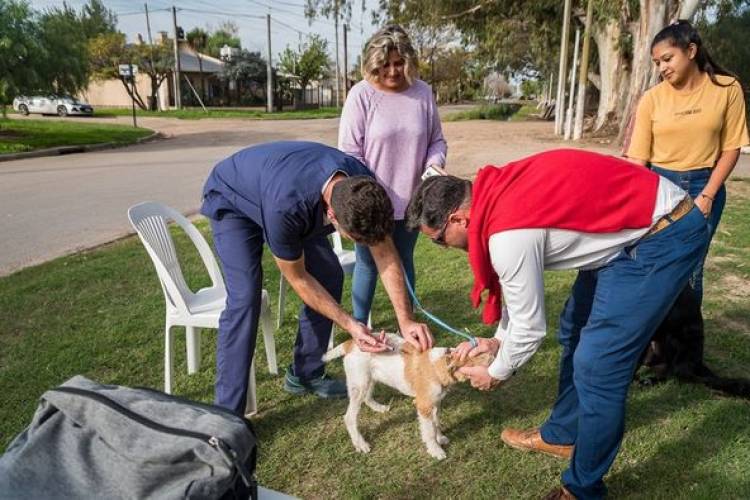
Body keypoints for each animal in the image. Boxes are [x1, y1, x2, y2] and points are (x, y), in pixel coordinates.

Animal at [322, 334, 494, 458]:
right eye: (481, 356)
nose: (494, 351)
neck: (439, 364)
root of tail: (351, 343)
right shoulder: (424, 406)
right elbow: (428, 431)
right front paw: (435, 450)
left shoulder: (435, 403)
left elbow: (436, 423)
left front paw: (440, 438)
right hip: (359, 384)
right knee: (349, 417)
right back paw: (360, 443)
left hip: (369, 379)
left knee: (367, 398)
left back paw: (379, 407)